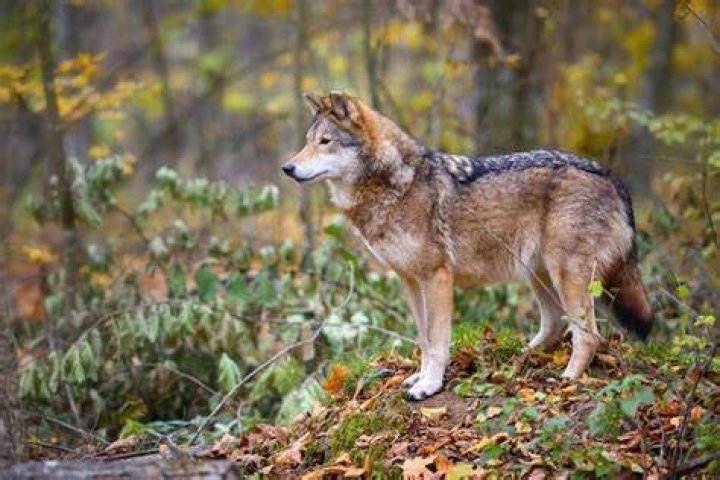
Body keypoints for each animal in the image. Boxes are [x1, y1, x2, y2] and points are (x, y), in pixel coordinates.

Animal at [282, 92, 653, 400]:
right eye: (307, 142)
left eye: (325, 141)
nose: (287, 167)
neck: (394, 184)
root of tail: (610, 174)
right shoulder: (410, 281)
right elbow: (424, 339)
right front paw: (419, 378)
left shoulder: (436, 277)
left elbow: (437, 341)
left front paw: (429, 386)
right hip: (538, 273)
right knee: (554, 326)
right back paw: (518, 359)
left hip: (566, 275)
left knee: (588, 335)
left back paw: (567, 380)